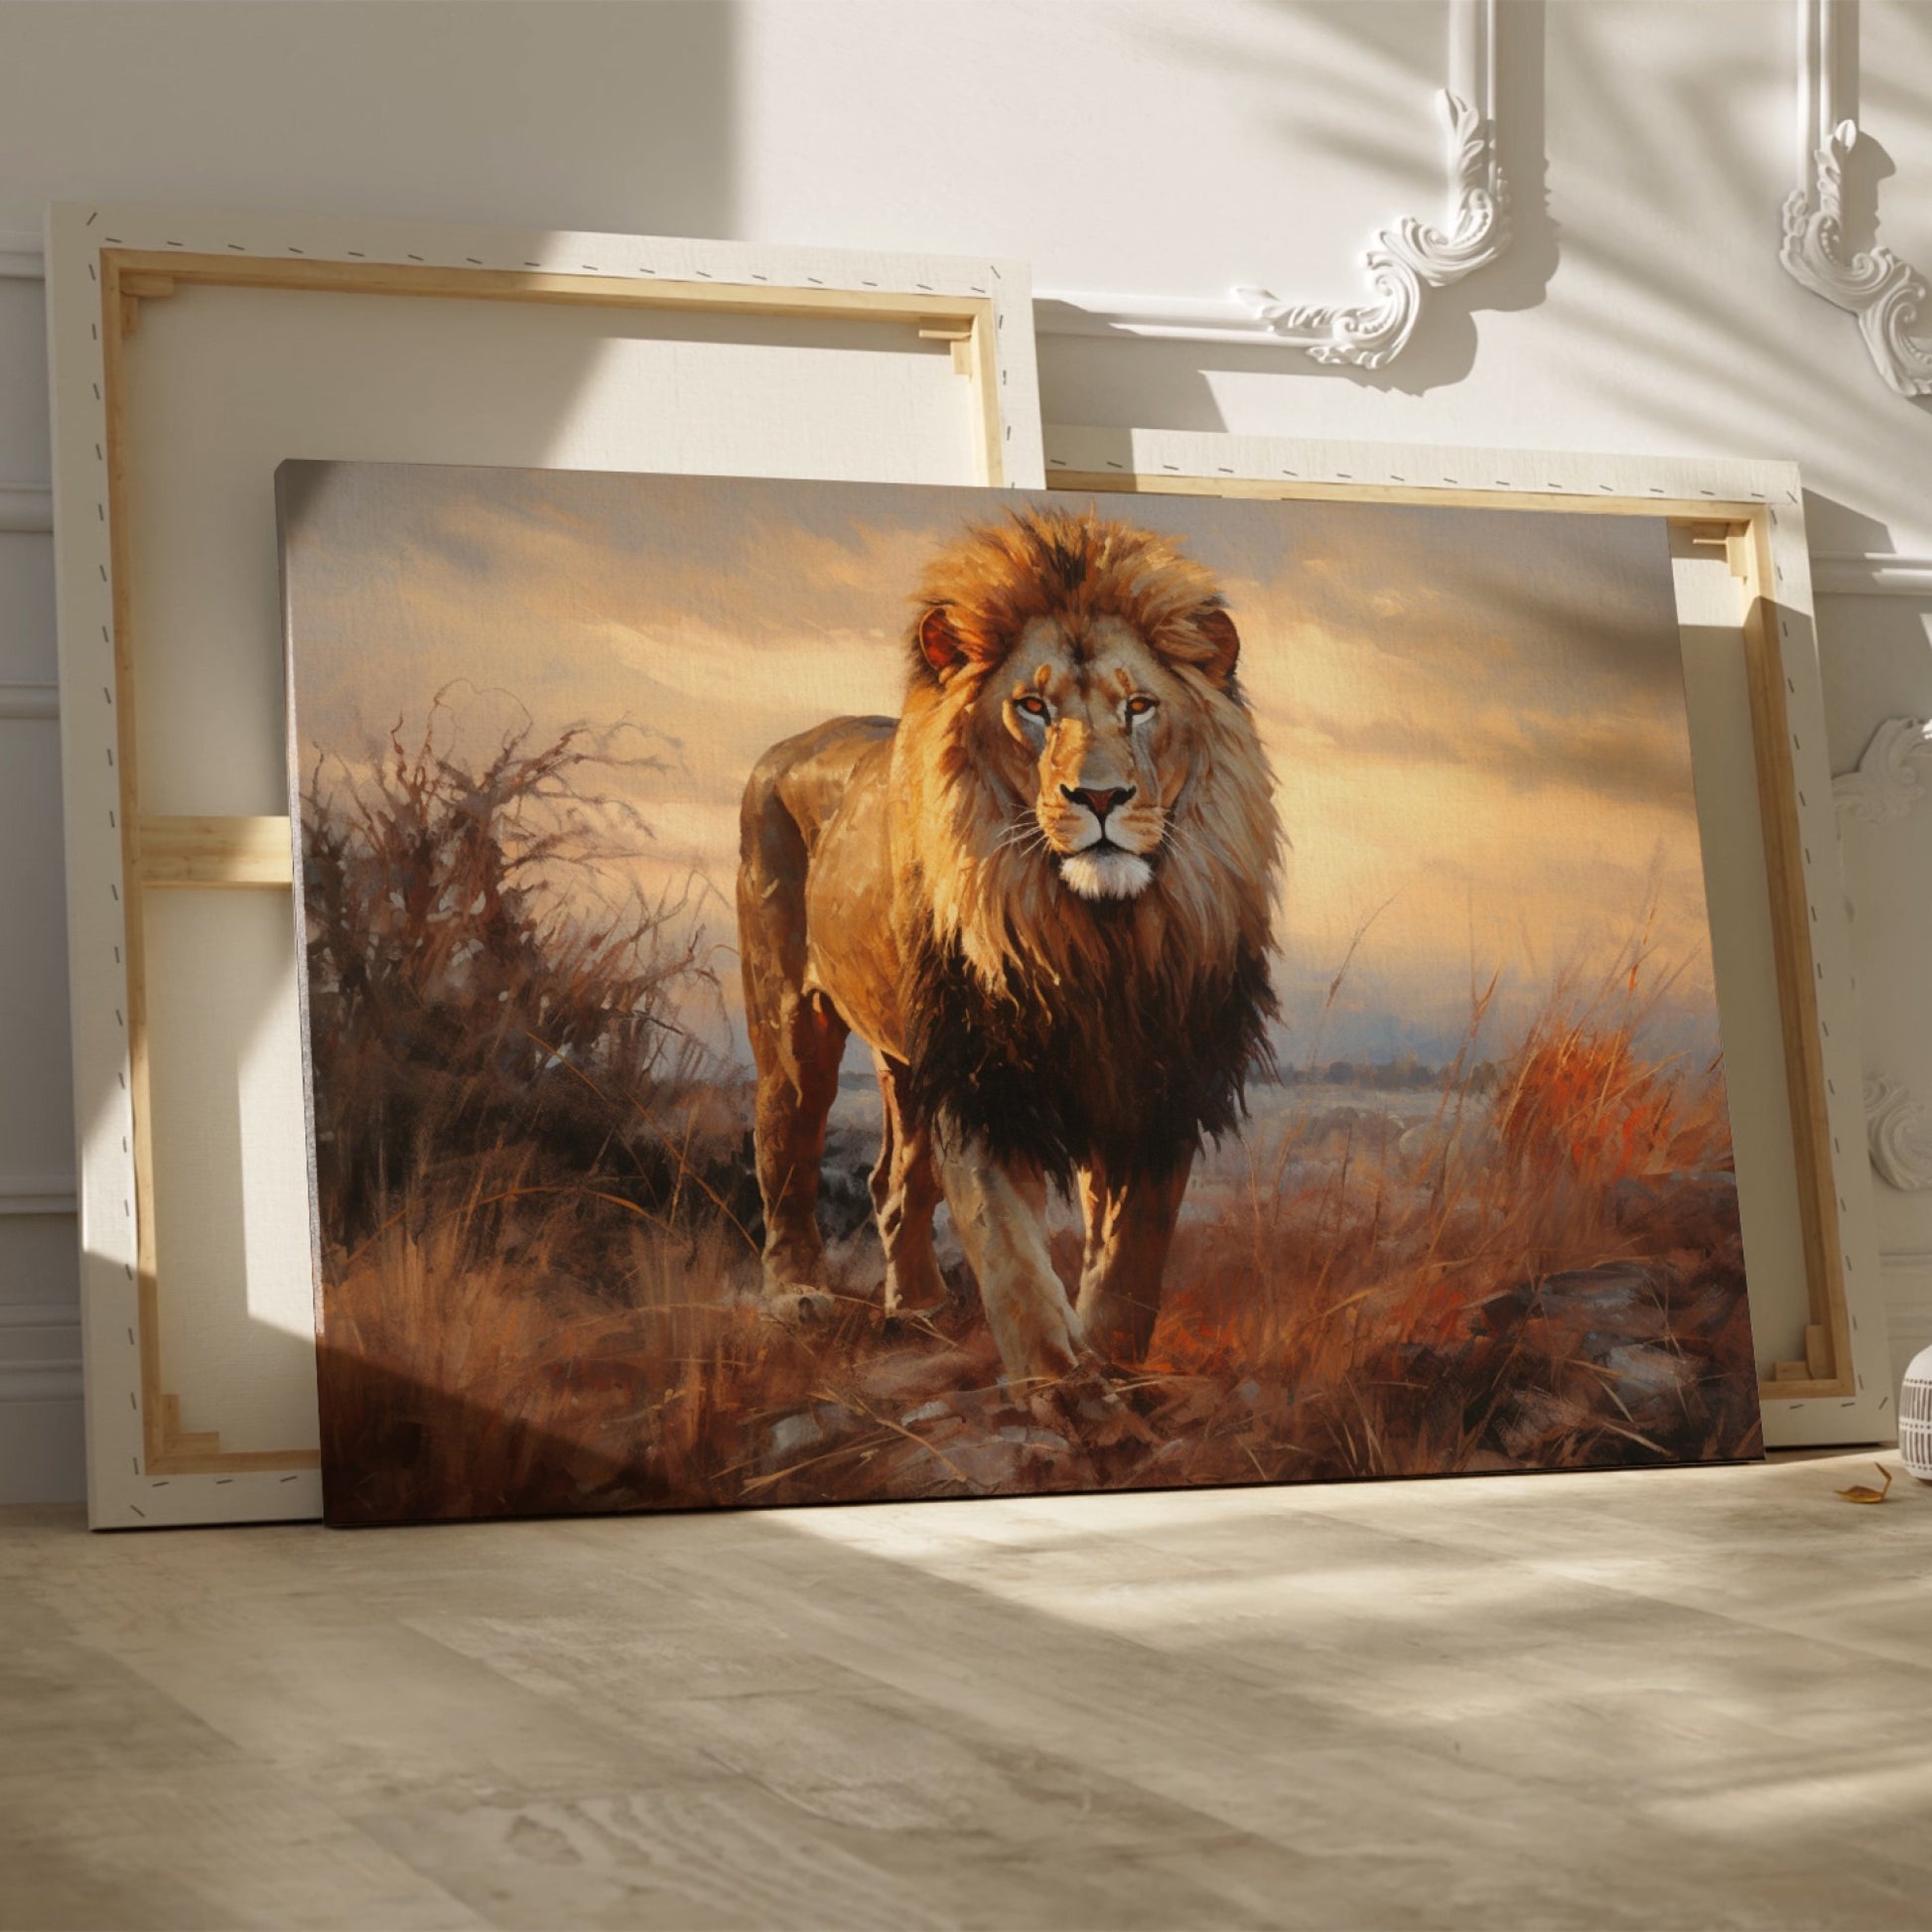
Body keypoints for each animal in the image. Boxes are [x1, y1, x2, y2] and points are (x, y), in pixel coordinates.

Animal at [734, 505, 1283, 1383]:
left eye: (1139, 707)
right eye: (1032, 706)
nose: (1100, 796)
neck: (1096, 938)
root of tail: (787, 746)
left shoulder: (1159, 1072)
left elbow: (1132, 1252)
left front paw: (1111, 1361)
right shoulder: (982, 1077)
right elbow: (1011, 1254)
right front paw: (1058, 1384)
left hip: (906, 1060)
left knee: (894, 1183)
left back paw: (919, 1306)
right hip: (791, 1016)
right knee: (784, 1144)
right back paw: (797, 1298)